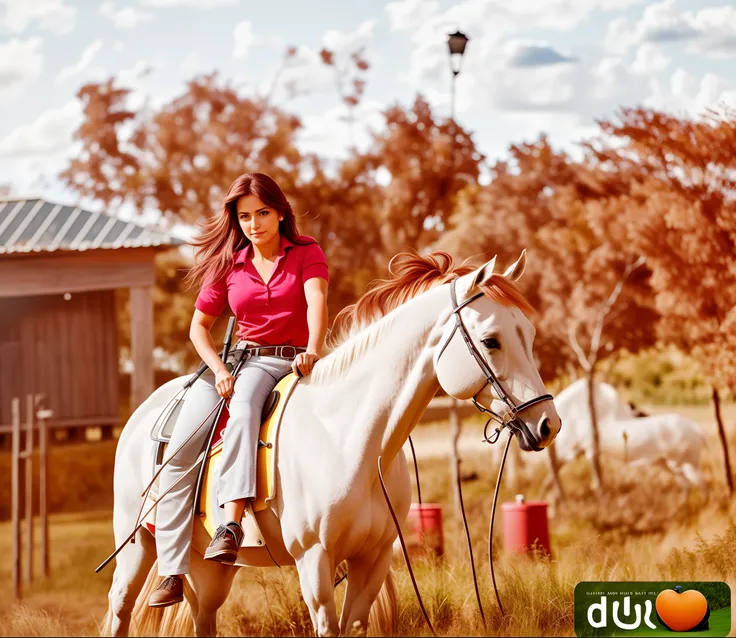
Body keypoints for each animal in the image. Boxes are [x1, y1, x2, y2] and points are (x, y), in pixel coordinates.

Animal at [102, 251, 564, 638]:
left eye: (529, 334)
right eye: (491, 341)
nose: (548, 424)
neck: (349, 440)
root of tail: (144, 412)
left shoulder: (372, 560)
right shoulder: (315, 562)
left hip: (210, 571)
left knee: (203, 616)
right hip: (136, 552)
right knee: (120, 609)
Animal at [548, 380, 708, 500]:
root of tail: (697, 430)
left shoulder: (588, 451)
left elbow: (598, 484)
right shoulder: (576, 452)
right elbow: (550, 479)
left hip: (687, 464)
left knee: (701, 484)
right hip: (669, 465)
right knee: (687, 485)